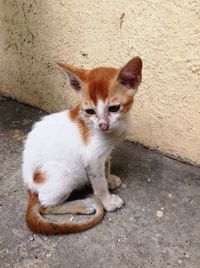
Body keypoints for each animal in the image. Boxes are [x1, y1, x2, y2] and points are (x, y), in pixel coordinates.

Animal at [21, 56, 142, 234]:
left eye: (114, 108)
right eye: (90, 111)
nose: (103, 125)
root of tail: (31, 189)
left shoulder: (104, 153)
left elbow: (107, 165)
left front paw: (109, 179)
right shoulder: (92, 158)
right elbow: (99, 184)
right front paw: (108, 202)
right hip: (63, 175)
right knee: (45, 206)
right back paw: (83, 205)